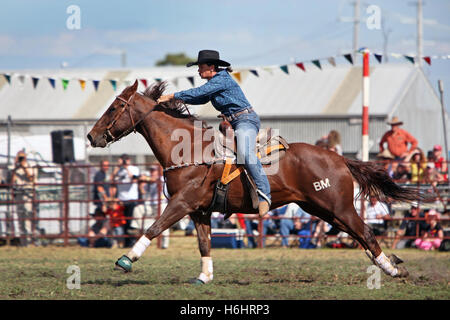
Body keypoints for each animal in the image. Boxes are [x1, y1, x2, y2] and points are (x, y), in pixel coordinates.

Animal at [89, 79, 422, 282]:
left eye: (115, 107)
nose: (92, 136)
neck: (190, 151)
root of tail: (339, 159)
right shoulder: (199, 211)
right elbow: (204, 243)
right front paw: (204, 277)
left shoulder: (181, 203)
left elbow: (153, 227)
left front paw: (126, 259)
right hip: (321, 209)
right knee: (357, 234)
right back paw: (391, 264)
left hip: (337, 206)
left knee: (364, 231)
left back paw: (392, 270)